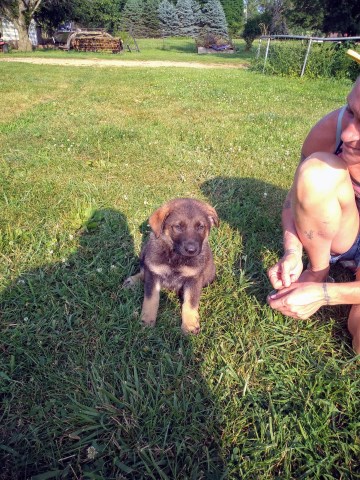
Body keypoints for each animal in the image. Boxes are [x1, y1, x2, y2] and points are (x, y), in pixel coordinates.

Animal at [125, 198, 218, 334]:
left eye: (201, 227)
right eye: (178, 227)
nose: (192, 250)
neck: (175, 256)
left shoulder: (194, 278)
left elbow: (190, 303)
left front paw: (189, 325)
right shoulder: (154, 273)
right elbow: (151, 299)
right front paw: (147, 320)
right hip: (144, 253)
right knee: (143, 270)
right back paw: (133, 281)